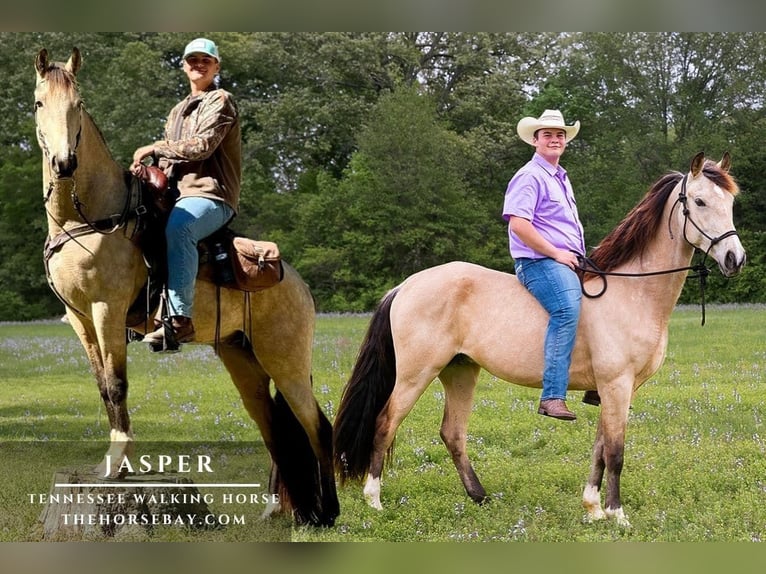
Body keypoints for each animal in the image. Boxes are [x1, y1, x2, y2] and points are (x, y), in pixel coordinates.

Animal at [33, 47, 339, 527]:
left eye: (78, 105)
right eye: (38, 103)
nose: (64, 163)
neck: (89, 218)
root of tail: (297, 285)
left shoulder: (107, 311)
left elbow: (117, 384)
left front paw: (118, 465)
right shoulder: (79, 318)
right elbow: (102, 386)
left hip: (285, 361)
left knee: (315, 427)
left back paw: (326, 513)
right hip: (243, 361)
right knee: (273, 426)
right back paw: (278, 509)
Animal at [333, 152, 746, 527]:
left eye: (729, 203)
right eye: (699, 201)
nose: (735, 258)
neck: (633, 292)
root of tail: (406, 285)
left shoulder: (617, 391)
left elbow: (599, 449)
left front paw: (593, 508)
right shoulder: (616, 385)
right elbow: (615, 451)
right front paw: (617, 514)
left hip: (460, 371)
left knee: (453, 433)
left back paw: (480, 497)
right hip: (416, 374)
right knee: (385, 422)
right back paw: (374, 501)